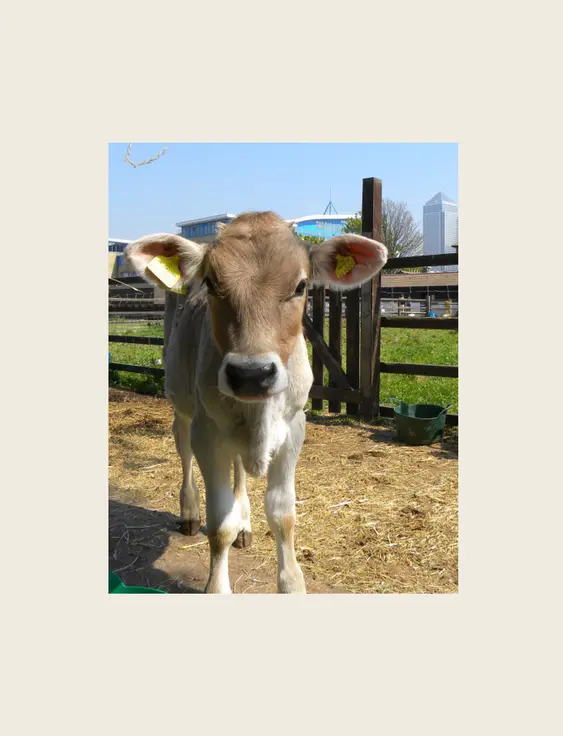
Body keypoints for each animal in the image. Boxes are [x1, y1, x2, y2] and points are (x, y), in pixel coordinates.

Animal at [125, 212, 387, 593]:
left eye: (301, 285)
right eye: (211, 283)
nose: (251, 374)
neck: (259, 413)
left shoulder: (293, 429)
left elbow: (282, 514)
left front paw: (291, 583)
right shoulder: (208, 433)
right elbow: (220, 522)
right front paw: (217, 587)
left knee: (239, 469)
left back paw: (245, 523)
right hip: (181, 402)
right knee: (184, 452)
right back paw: (190, 511)